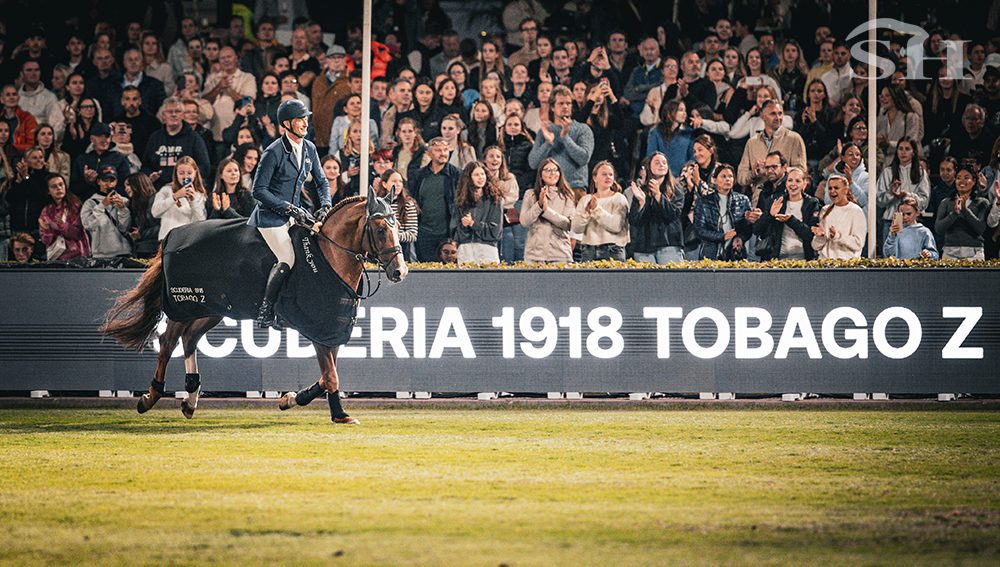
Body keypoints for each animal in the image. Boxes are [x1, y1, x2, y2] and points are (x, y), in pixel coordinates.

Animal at [100, 194, 407, 424]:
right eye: (381, 229)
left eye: (398, 228)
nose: (400, 271)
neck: (329, 256)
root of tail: (172, 235)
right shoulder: (319, 328)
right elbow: (331, 376)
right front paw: (340, 414)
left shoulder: (332, 327)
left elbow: (325, 376)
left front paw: (290, 399)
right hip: (184, 305)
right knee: (168, 341)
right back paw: (150, 397)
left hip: (214, 307)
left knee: (189, 339)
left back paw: (190, 399)